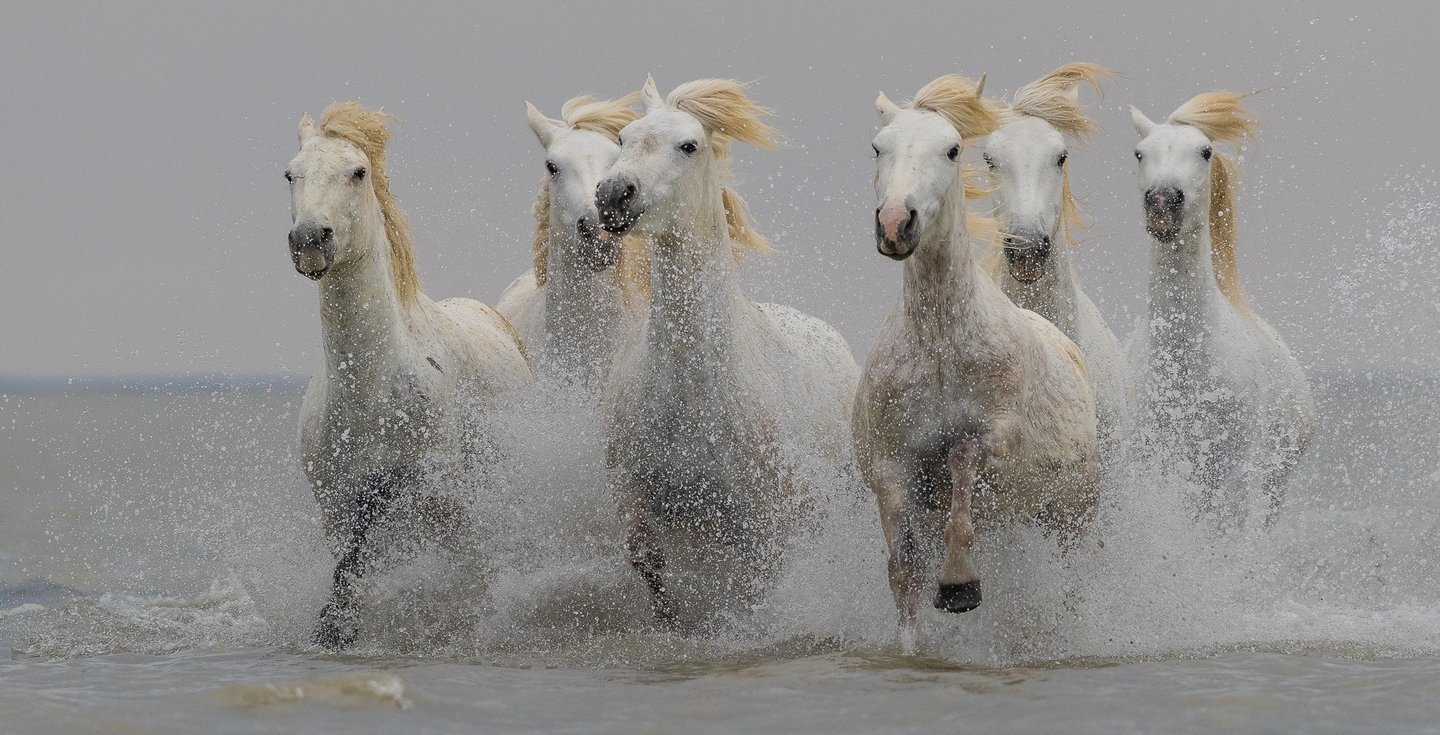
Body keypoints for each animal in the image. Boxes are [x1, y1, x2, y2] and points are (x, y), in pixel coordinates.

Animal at [285, 102, 532, 649]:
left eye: (357, 172)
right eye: (290, 173)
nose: (309, 240)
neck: (369, 393)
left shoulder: (438, 502)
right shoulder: (337, 513)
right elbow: (349, 574)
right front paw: (335, 630)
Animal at [594, 76, 860, 623]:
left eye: (688, 145)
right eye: (623, 138)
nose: (613, 194)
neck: (694, 387)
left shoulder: (764, 522)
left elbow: (756, 587)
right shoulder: (633, 491)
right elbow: (646, 560)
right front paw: (673, 622)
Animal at [852, 74, 1100, 651]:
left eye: (951, 149)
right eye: (878, 147)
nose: (895, 223)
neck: (941, 346)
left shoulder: (998, 436)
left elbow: (962, 461)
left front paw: (959, 585)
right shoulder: (890, 468)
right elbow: (904, 571)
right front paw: (912, 647)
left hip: (1072, 513)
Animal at [1127, 92, 1316, 526]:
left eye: (1205, 151)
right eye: (1140, 153)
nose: (1162, 202)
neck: (1187, 368)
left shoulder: (1231, 478)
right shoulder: (1153, 465)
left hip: (1270, 486)